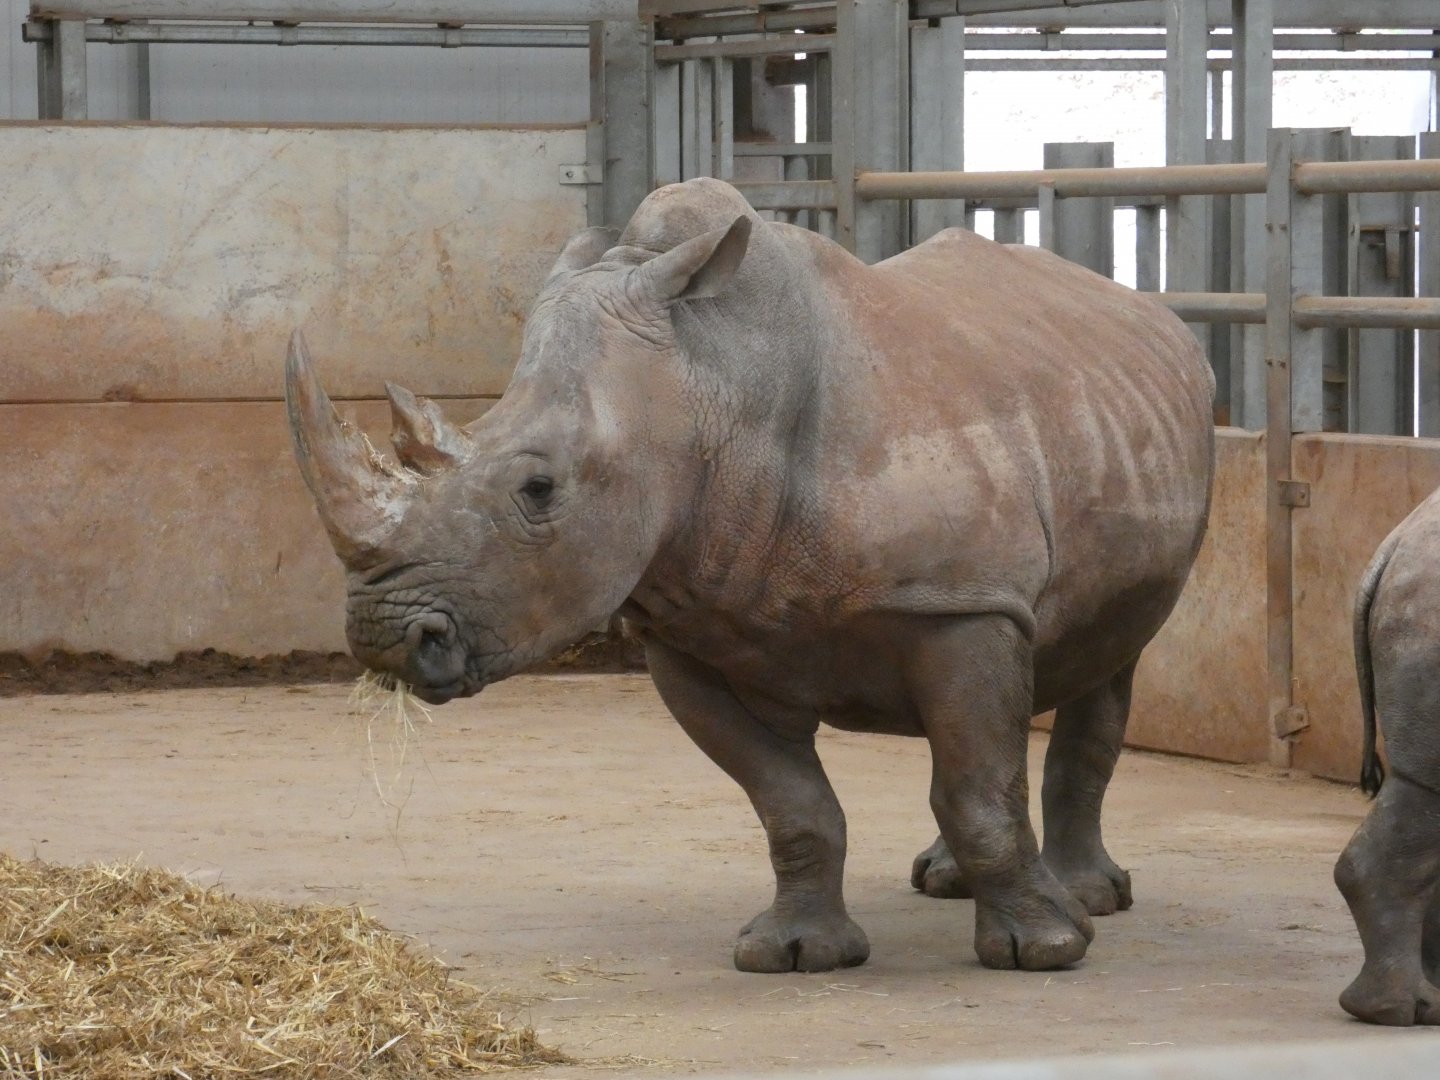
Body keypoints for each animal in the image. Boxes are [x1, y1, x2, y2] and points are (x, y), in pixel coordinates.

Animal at [286, 177, 1214, 973]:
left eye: (538, 488)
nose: (384, 638)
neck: (709, 382)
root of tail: (1147, 313)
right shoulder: (691, 634)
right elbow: (793, 804)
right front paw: (797, 955)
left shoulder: (959, 602)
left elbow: (981, 789)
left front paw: (1045, 951)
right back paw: (946, 881)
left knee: (1106, 661)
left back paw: (1091, 898)